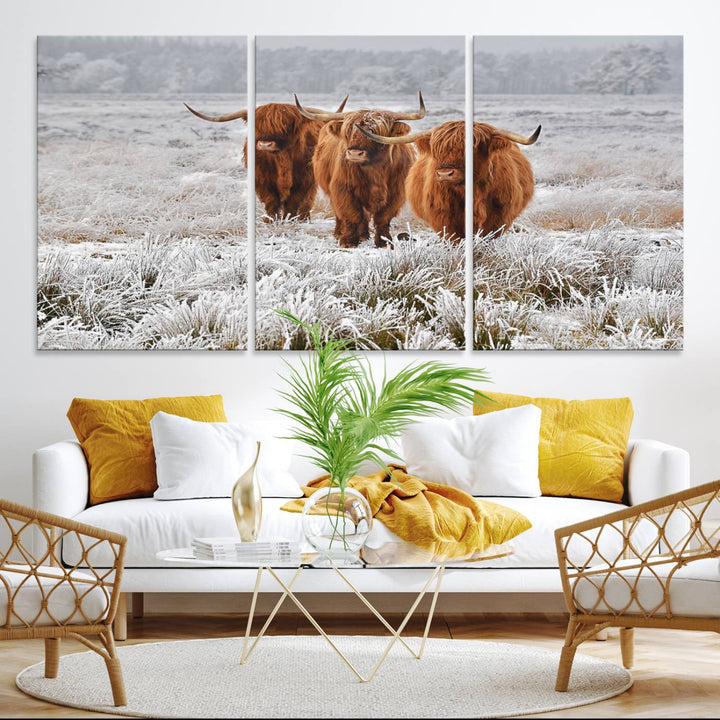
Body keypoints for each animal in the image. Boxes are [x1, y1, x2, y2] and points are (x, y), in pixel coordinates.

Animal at [183, 97, 346, 222]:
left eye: (286, 124)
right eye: (257, 125)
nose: (265, 144)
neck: (282, 160)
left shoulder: (304, 180)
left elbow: (293, 202)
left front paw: (289, 220)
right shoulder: (262, 180)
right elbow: (271, 201)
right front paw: (270, 221)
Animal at [294, 91, 428, 249]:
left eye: (375, 132)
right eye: (348, 132)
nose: (354, 153)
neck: (375, 170)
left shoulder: (396, 193)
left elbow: (383, 218)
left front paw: (384, 242)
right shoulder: (343, 188)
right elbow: (352, 214)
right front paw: (348, 242)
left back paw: (364, 236)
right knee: (343, 213)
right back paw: (340, 233)